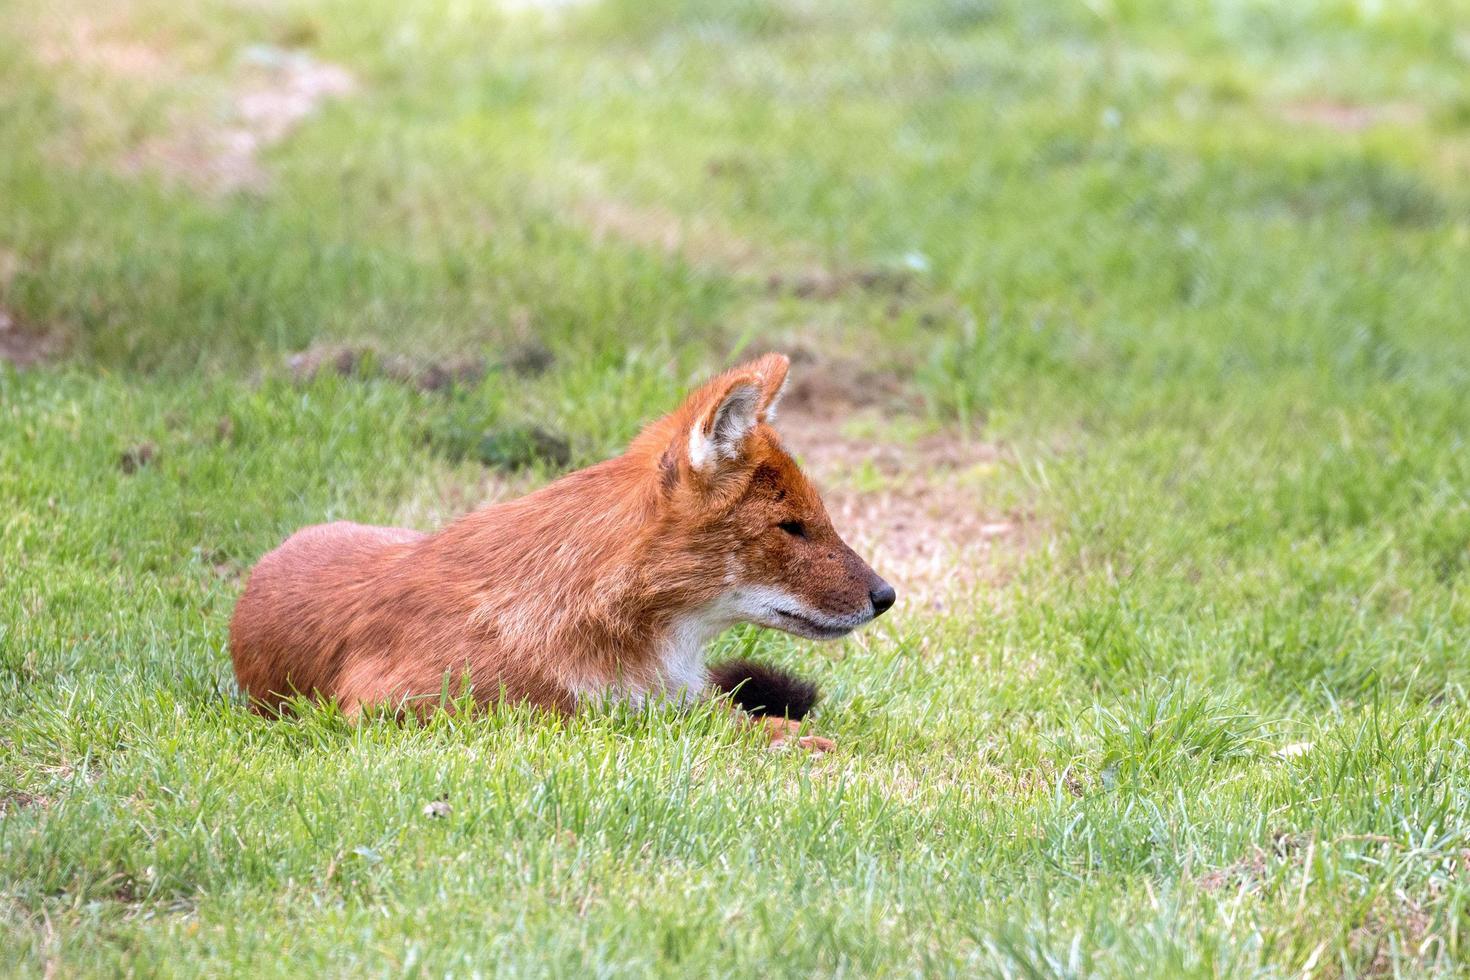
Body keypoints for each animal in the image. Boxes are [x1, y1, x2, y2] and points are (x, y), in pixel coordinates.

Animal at [229, 357, 893, 746]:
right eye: (791, 527)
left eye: (816, 517)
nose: (885, 595)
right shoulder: (386, 706)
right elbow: (600, 714)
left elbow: (740, 716)